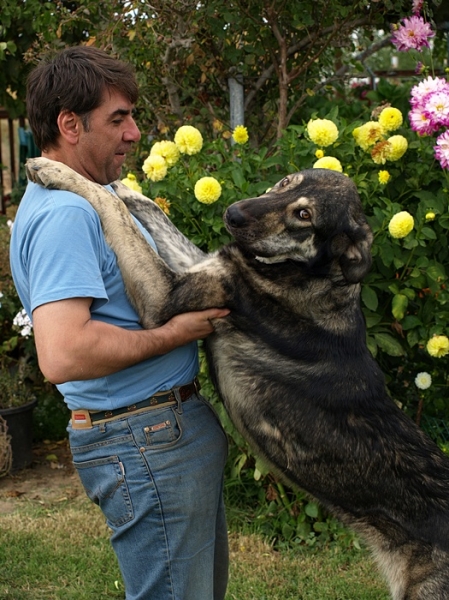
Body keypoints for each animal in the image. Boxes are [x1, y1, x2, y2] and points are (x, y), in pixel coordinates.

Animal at [27, 157, 448, 596]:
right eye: (285, 182)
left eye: (304, 216)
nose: (233, 213)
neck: (304, 273)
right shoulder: (198, 263)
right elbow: (146, 208)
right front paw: (119, 183)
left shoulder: (165, 297)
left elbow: (114, 212)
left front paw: (59, 172)